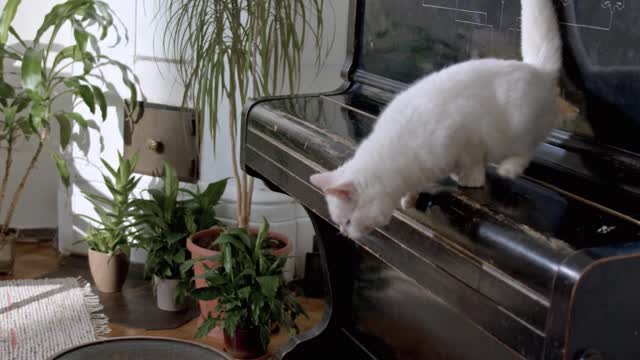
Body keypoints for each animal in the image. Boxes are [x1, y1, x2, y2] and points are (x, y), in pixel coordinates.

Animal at [310, 0, 560, 239]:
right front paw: (410, 197)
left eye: (347, 221)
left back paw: (509, 168)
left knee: (528, 148)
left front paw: (469, 179)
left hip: (517, 127)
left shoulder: (468, 137)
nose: (343, 232)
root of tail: (537, 70)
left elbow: (473, 164)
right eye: (339, 223)